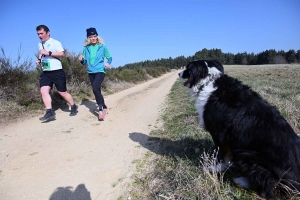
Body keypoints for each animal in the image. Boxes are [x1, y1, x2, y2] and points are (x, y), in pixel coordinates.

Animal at [179, 59, 298, 198]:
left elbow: (222, 154)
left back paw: (242, 181)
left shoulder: (219, 134)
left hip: (247, 153)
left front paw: (216, 167)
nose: (179, 73)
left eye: (188, 69)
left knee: (269, 188)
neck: (208, 81)